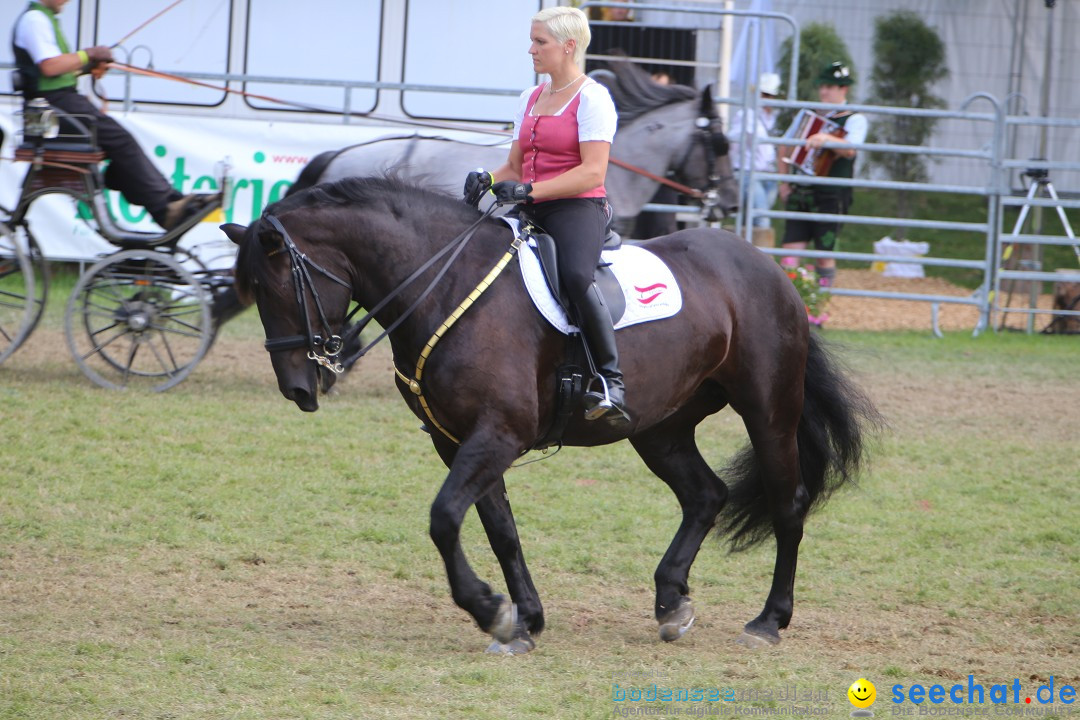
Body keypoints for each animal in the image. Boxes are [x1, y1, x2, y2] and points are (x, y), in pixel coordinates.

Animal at [223, 175, 881, 651]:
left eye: (279, 289)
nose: (298, 388)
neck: (446, 284)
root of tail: (770, 268)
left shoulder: (498, 434)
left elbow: (444, 517)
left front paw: (489, 609)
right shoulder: (458, 440)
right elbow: (499, 529)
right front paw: (524, 621)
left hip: (768, 409)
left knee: (788, 504)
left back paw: (769, 621)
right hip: (660, 428)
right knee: (705, 495)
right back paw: (671, 603)